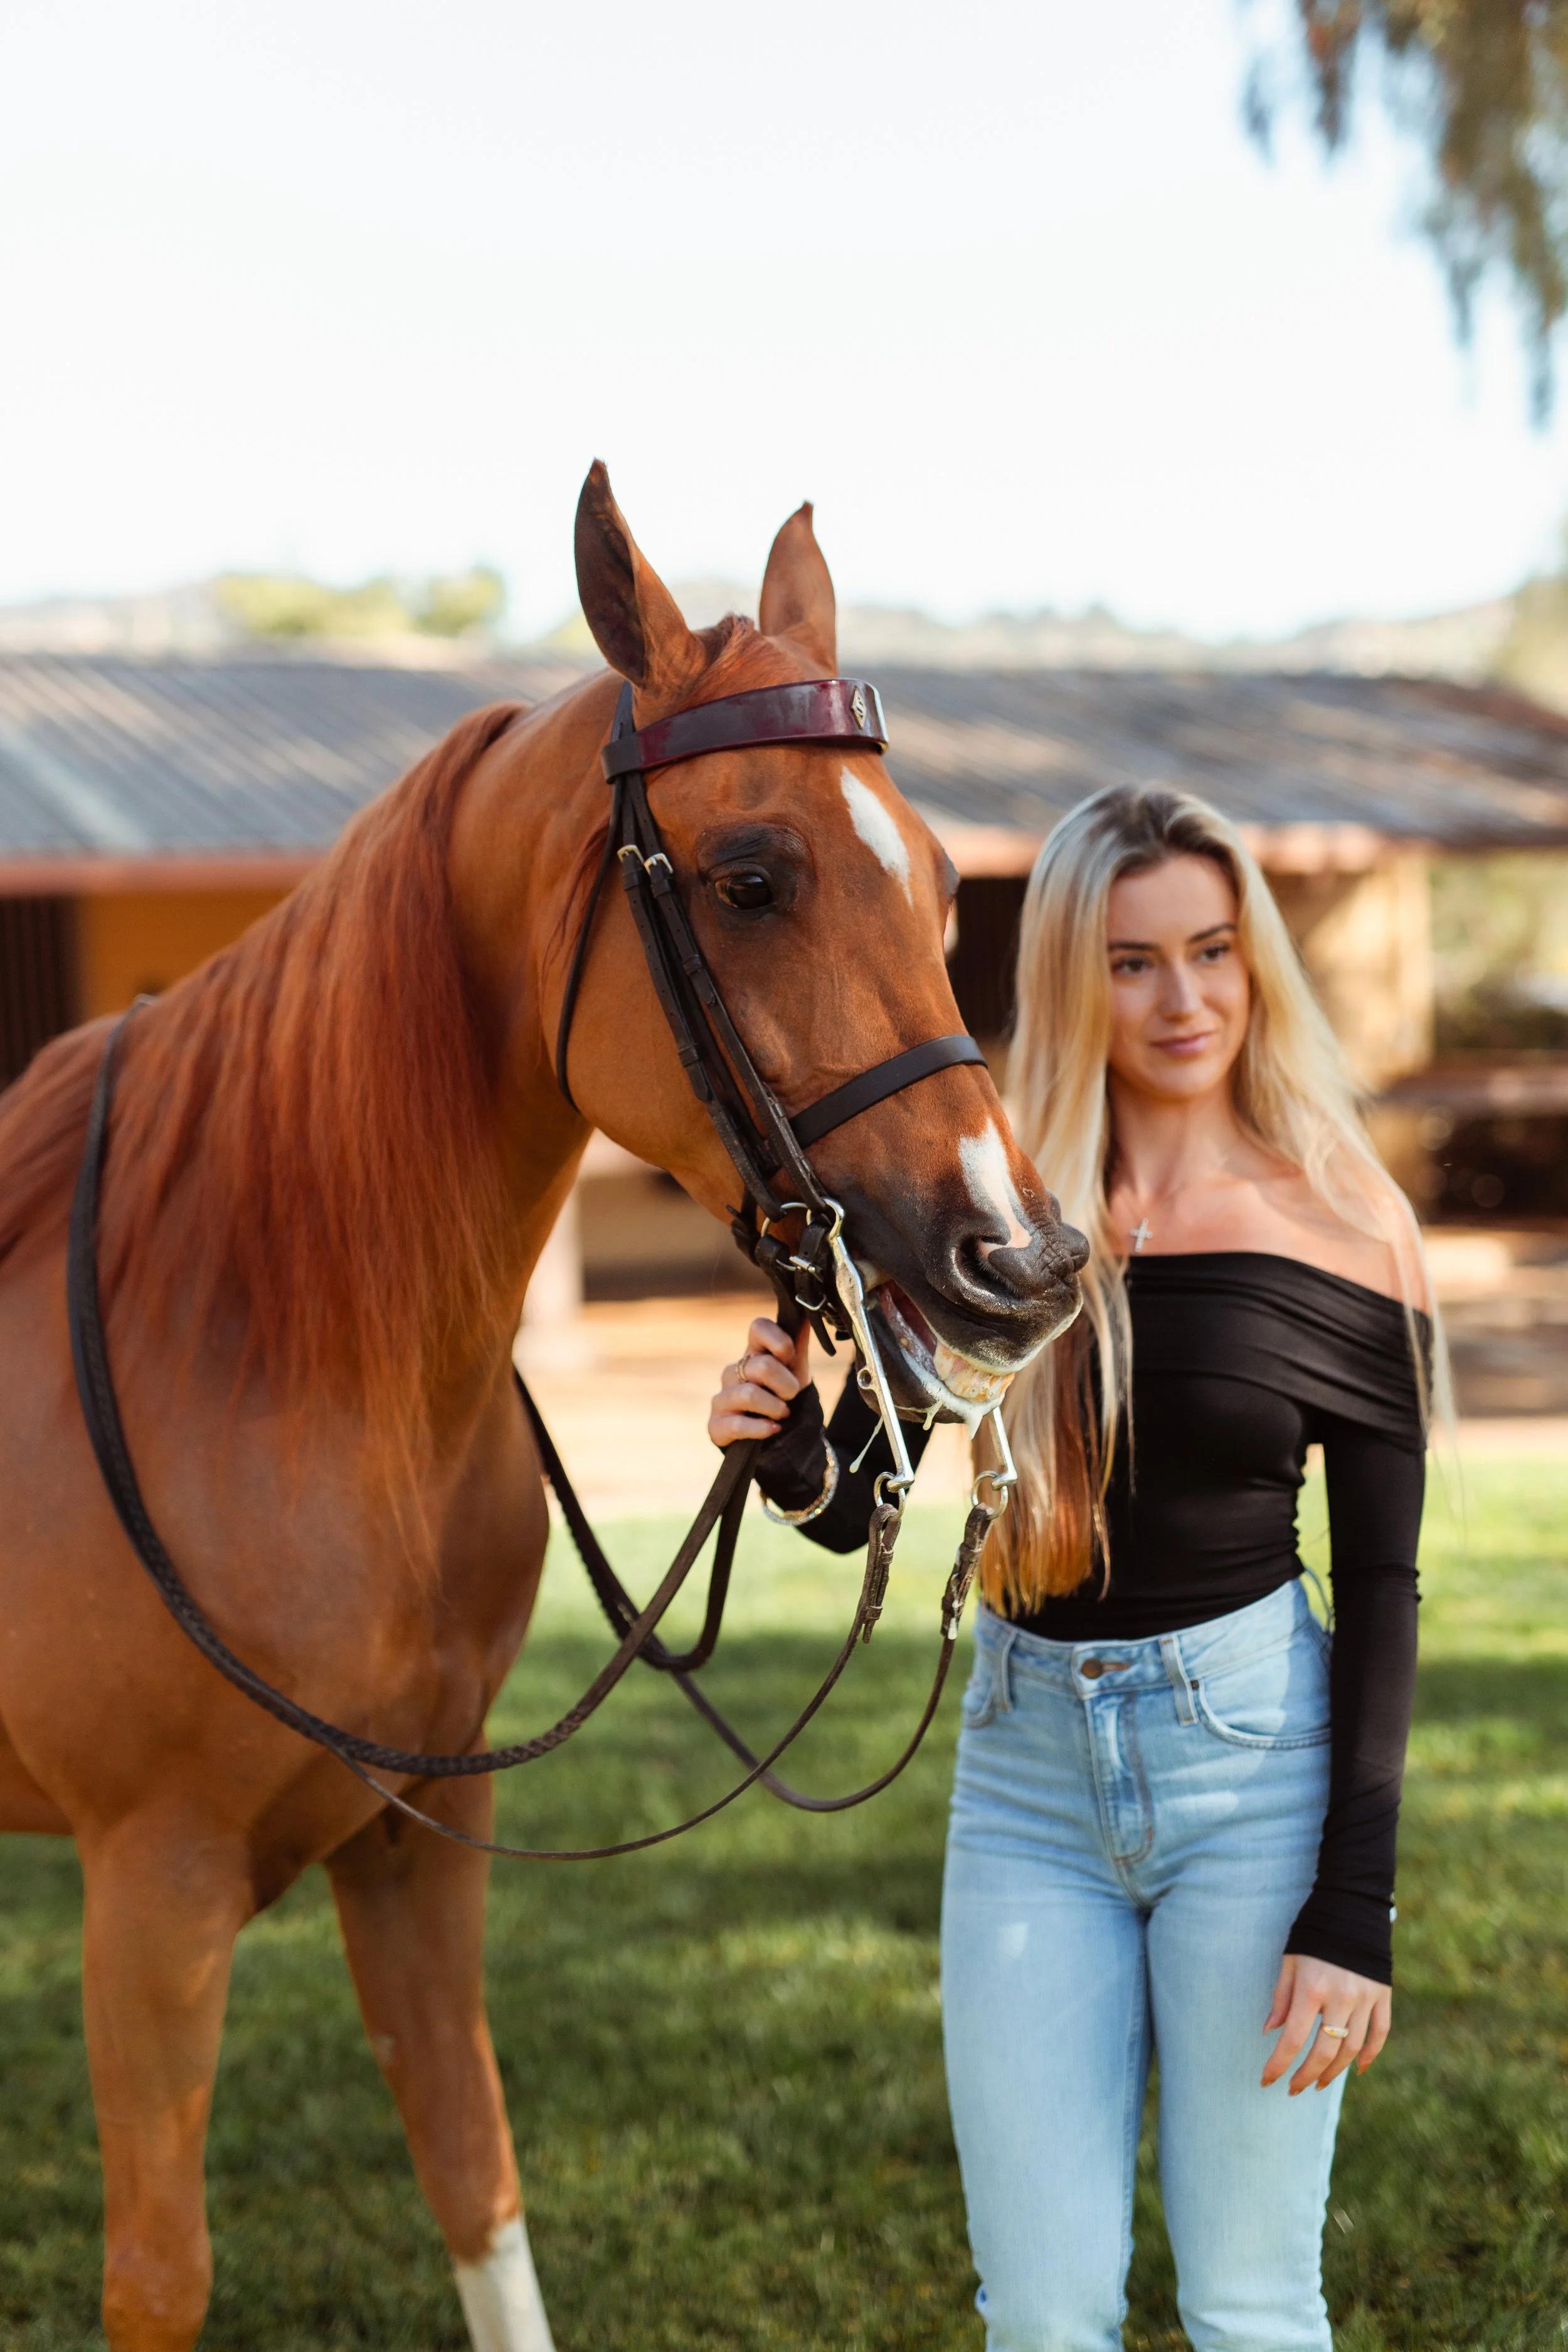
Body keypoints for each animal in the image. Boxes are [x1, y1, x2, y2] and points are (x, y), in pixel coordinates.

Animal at [0, 464, 1083, 2352]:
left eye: (952, 882)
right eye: (749, 874)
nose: (1020, 1261)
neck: (270, 1362)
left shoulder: (420, 1846)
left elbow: (477, 2177)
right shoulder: (153, 1886)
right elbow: (162, 2277)